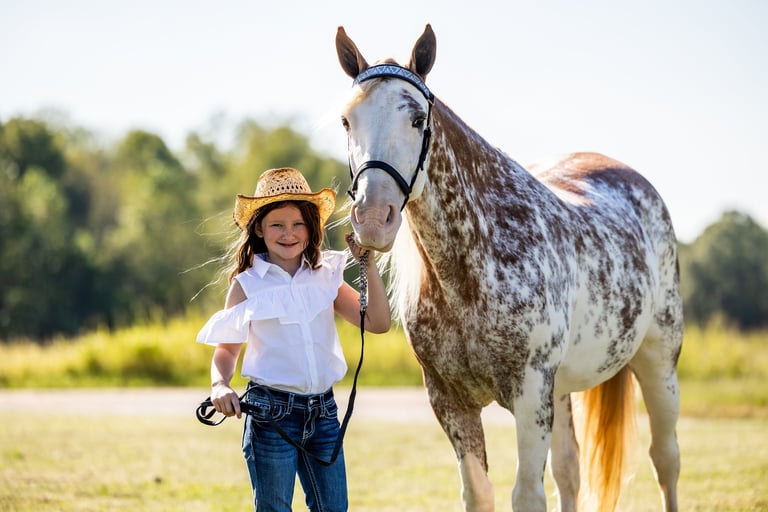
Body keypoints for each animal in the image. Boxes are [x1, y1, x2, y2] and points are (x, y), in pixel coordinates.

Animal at [335, 24, 683, 512]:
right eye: (347, 121)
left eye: (417, 120)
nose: (371, 218)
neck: (471, 271)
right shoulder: (451, 401)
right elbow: (480, 493)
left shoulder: (530, 394)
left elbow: (527, 495)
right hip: (562, 391)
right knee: (570, 473)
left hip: (658, 366)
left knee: (665, 460)